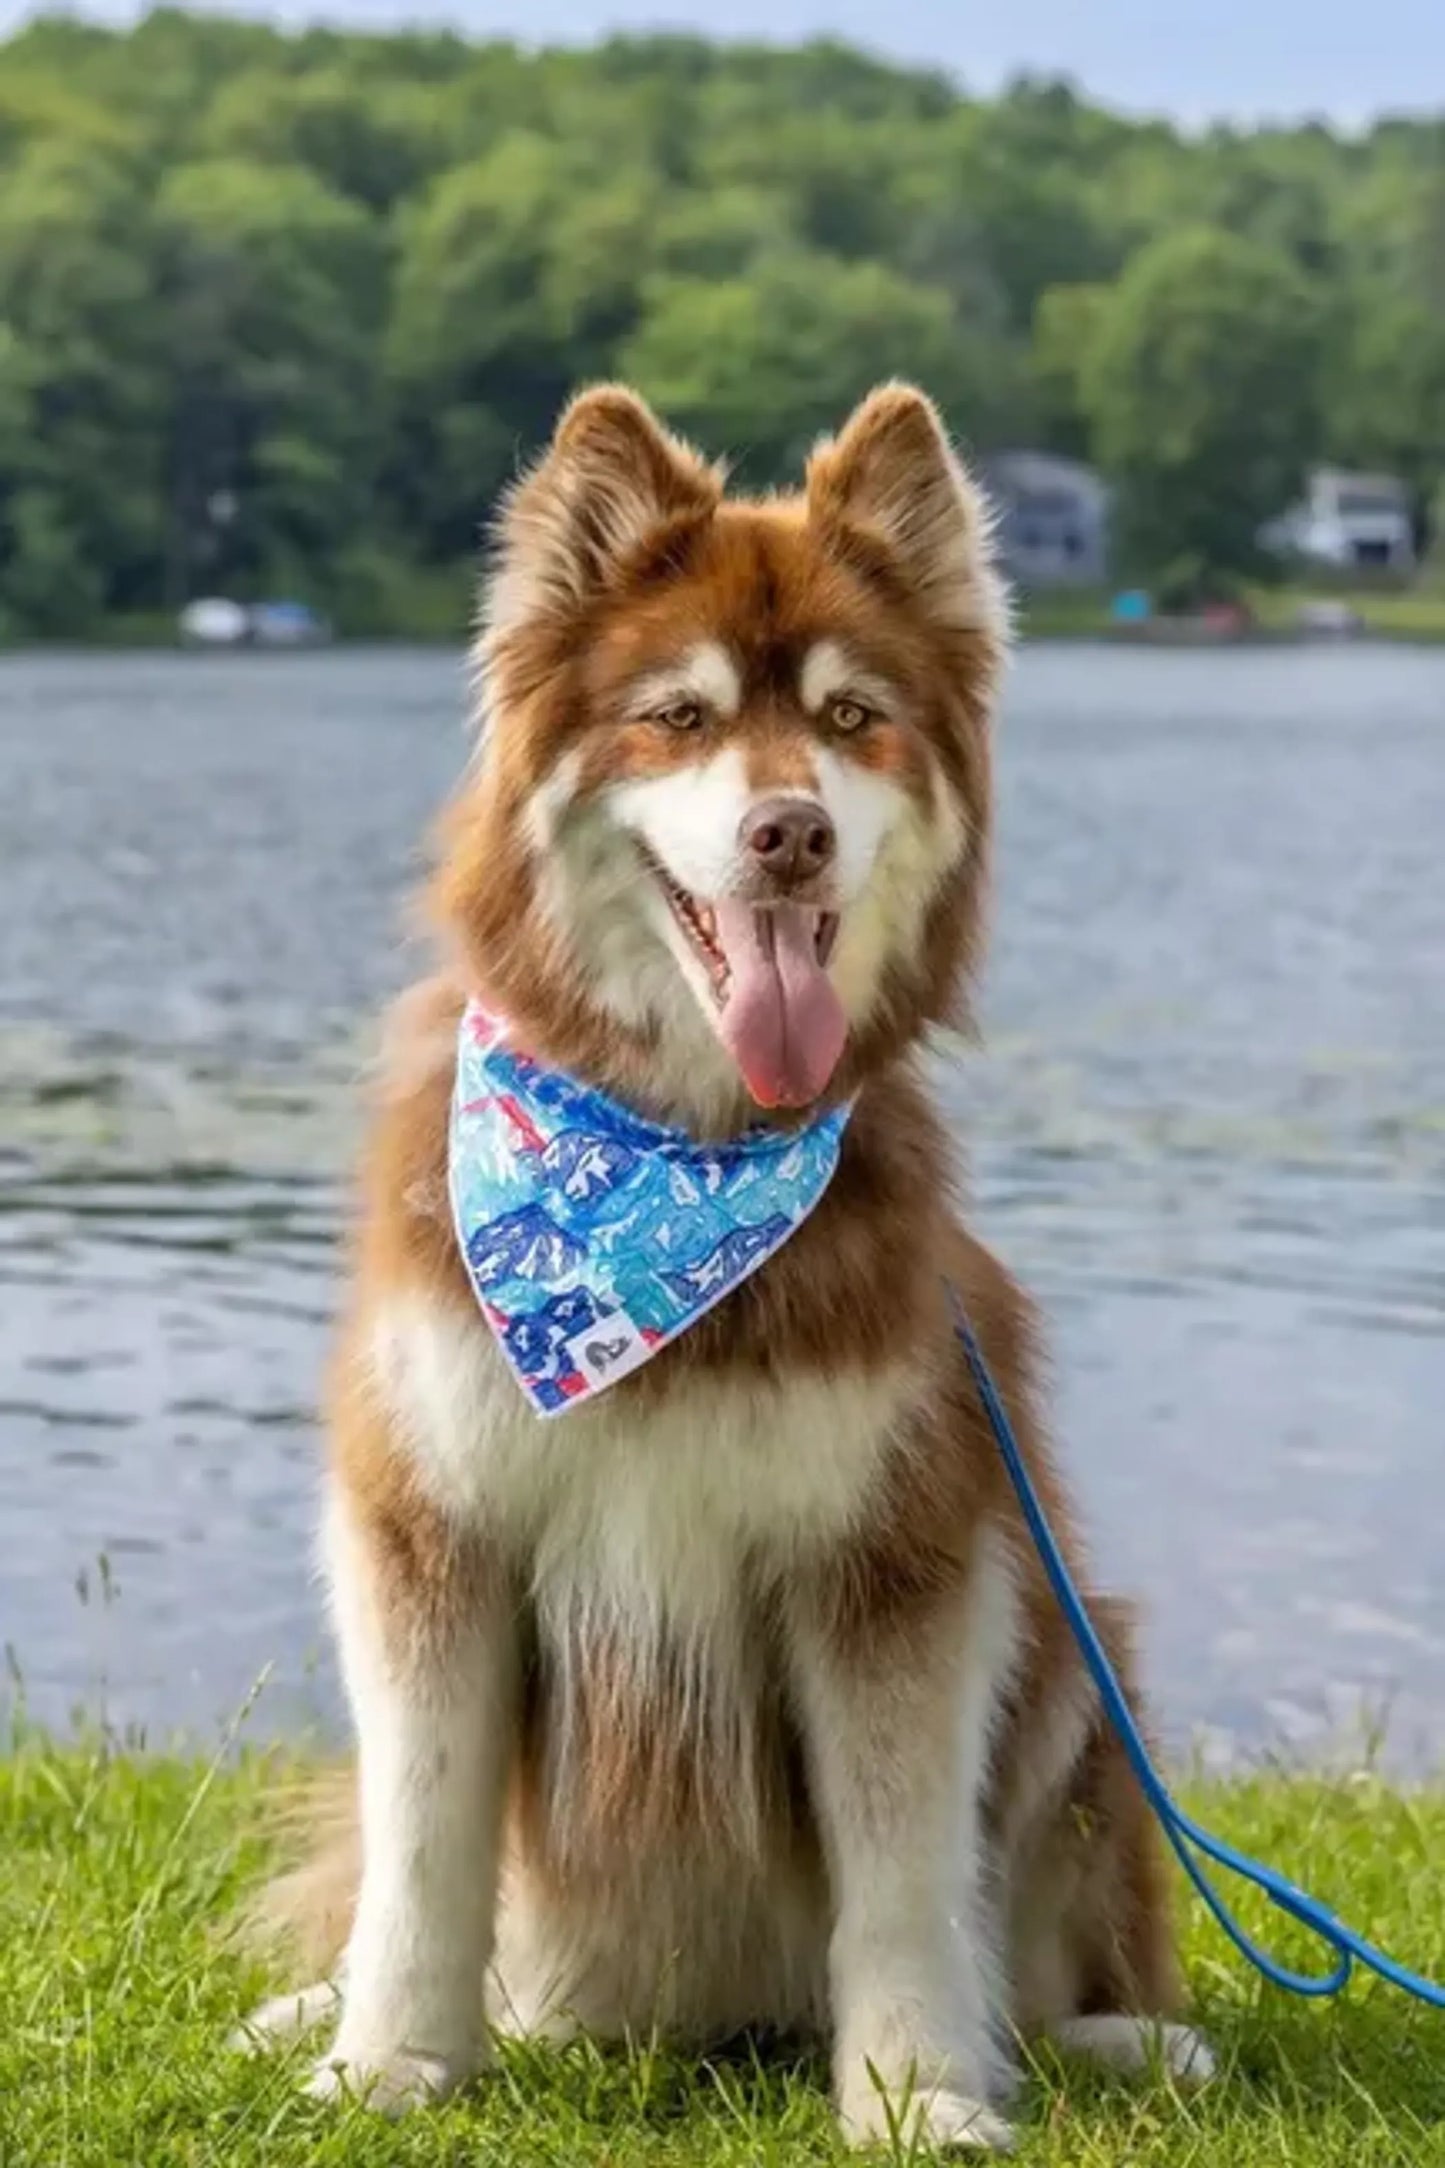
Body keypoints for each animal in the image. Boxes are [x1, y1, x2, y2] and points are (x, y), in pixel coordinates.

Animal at [242, 381, 1213, 2141]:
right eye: (679, 718)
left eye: (853, 718)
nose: (789, 833)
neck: (666, 1174)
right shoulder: (432, 1524)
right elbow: (421, 1841)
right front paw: (384, 2063)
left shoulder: (897, 1550)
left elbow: (902, 1870)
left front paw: (919, 2097)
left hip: (1078, 1667)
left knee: (1040, 1956)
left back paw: (1103, 2045)